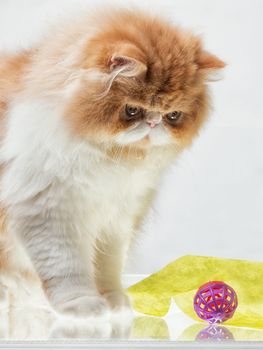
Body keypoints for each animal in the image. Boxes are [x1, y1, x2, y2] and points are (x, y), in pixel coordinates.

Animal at [0, 9, 226, 318]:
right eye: (132, 110)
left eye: (173, 115)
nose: (154, 122)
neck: (109, 159)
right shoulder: (48, 212)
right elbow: (68, 268)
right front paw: (83, 306)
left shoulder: (118, 220)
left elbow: (106, 268)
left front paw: (114, 302)